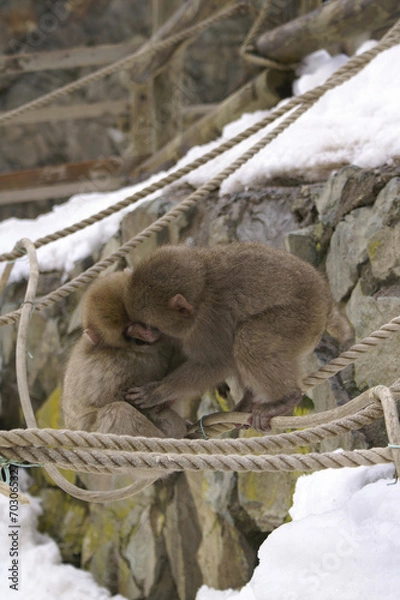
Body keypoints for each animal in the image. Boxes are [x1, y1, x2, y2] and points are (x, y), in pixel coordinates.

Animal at [61, 270, 187, 438]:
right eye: (129, 331)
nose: (149, 330)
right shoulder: (123, 365)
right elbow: (123, 398)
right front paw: (174, 423)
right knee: (117, 412)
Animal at [123, 241, 352, 434]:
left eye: (152, 327)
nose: (137, 333)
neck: (203, 286)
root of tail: (326, 300)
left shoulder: (208, 324)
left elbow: (218, 363)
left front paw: (159, 390)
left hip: (302, 319)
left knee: (247, 340)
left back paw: (285, 399)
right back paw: (249, 400)